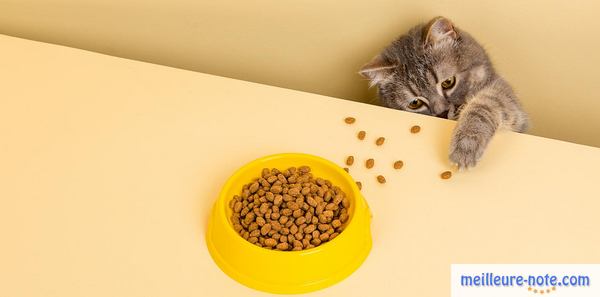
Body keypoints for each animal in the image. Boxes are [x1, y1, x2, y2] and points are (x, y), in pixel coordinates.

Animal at [358, 16, 528, 169]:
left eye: (448, 82)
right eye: (415, 103)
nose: (442, 112)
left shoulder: (506, 99)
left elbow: (484, 105)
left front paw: (466, 143)